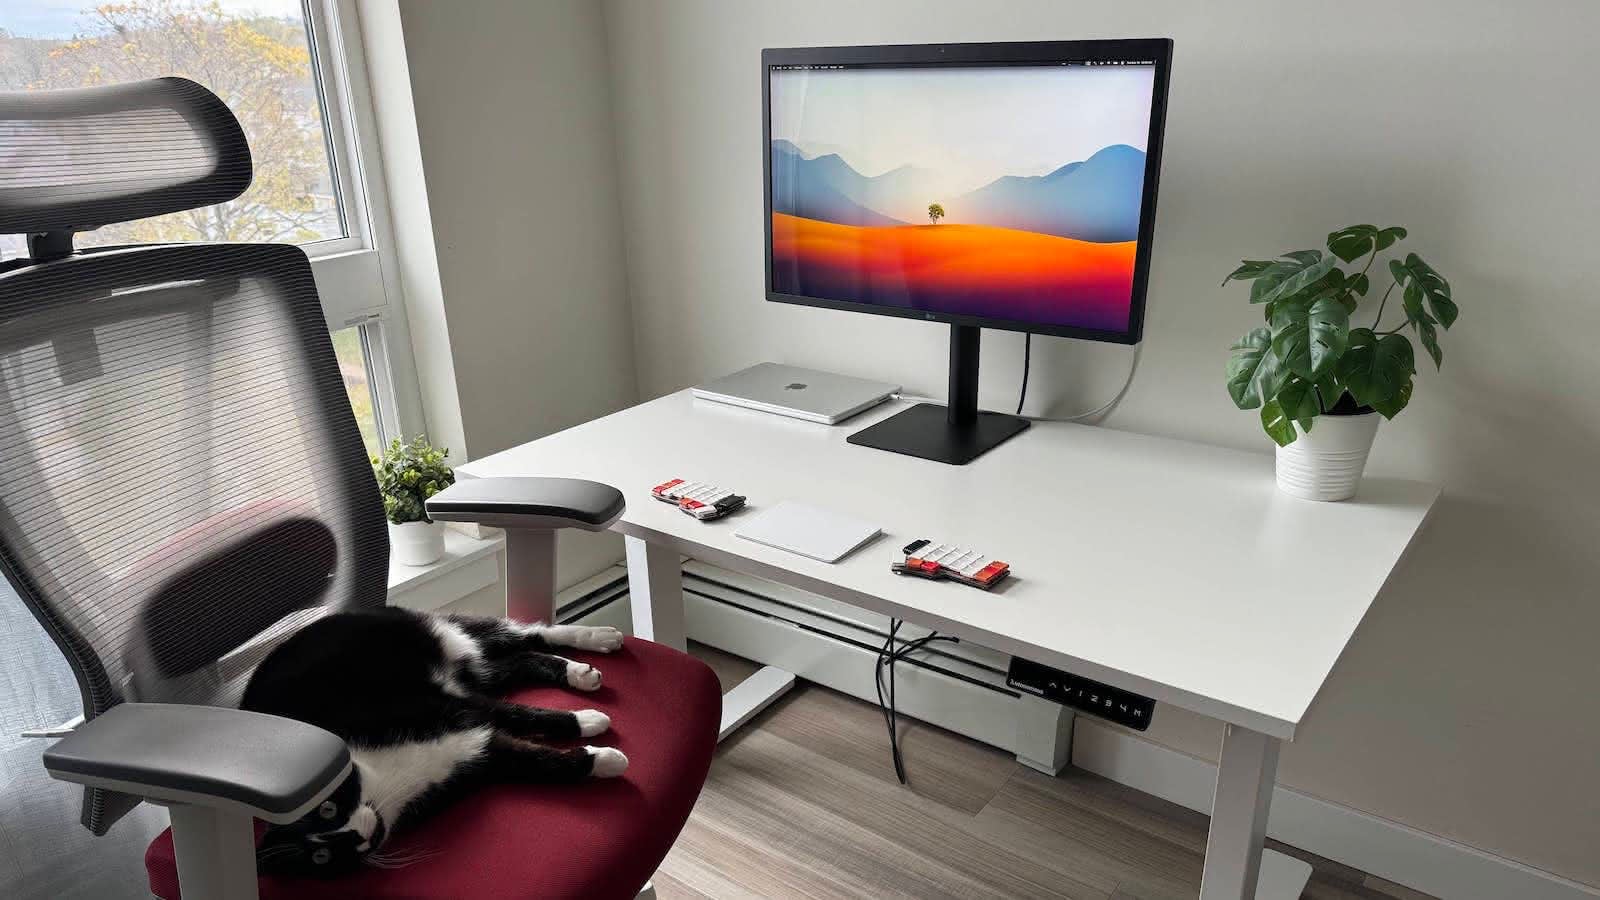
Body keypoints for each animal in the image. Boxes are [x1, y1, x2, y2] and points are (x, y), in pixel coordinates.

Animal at [240, 605, 627, 871]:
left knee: (525, 633)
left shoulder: (449, 706)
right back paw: (577, 670)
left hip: (440, 635)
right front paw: (601, 759)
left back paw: (596, 640)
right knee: (516, 660)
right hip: (472, 672)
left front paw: (588, 722)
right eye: (320, 856)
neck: (386, 783)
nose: (355, 838)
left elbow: (521, 714)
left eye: (327, 807)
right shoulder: (477, 758)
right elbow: (536, 762)